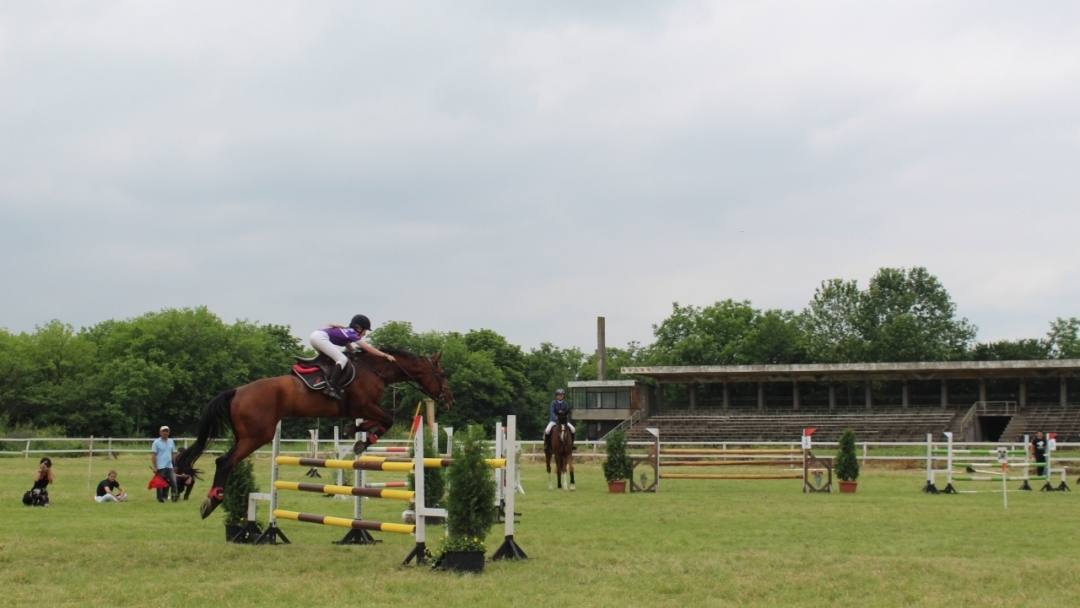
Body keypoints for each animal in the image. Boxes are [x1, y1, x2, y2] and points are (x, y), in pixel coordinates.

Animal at [176, 347, 451, 518]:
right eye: (442, 374)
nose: (450, 400)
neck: (375, 370)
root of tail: (237, 391)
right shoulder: (362, 405)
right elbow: (387, 419)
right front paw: (362, 439)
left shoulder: (362, 408)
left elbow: (377, 420)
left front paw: (355, 430)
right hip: (257, 436)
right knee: (224, 461)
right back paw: (212, 501)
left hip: (244, 435)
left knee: (225, 460)